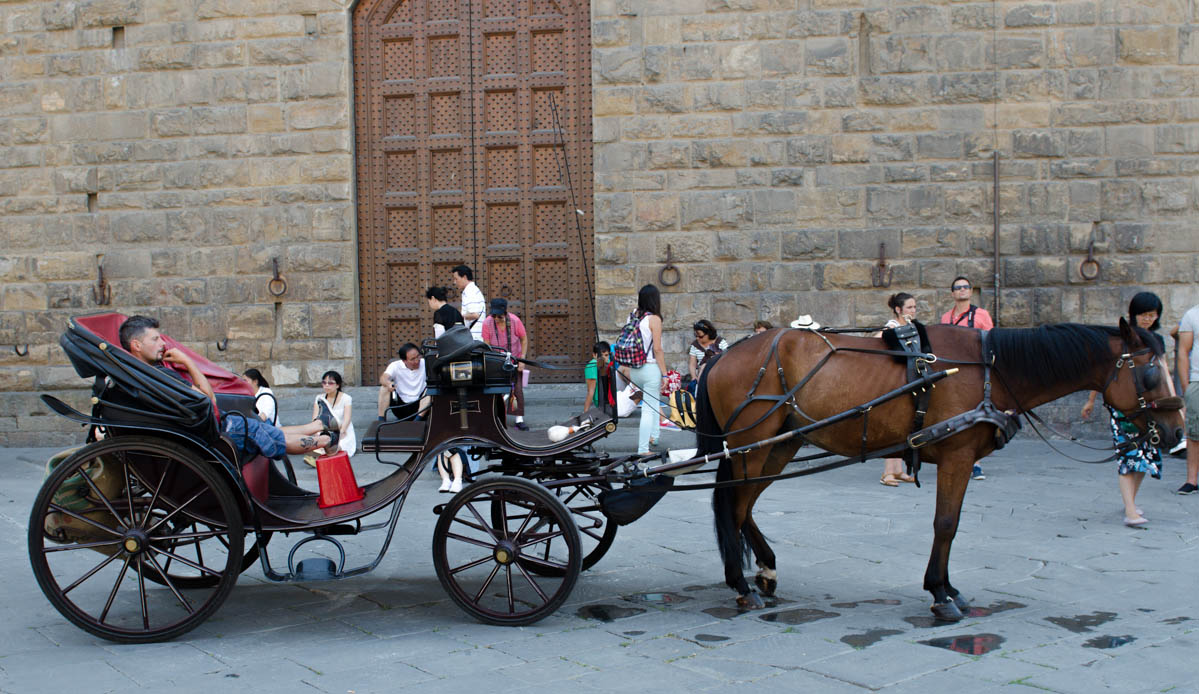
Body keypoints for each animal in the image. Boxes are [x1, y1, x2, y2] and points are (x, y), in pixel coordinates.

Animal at [700, 318, 1184, 618]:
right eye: (1150, 375)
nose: (1177, 430)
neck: (991, 370)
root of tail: (721, 356)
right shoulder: (957, 455)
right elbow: (946, 523)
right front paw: (940, 593)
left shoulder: (961, 459)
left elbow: (952, 524)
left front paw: (948, 588)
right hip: (749, 445)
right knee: (733, 506)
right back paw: (741, 585)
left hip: (780, 444)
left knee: (743, 506)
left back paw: (763, 571)